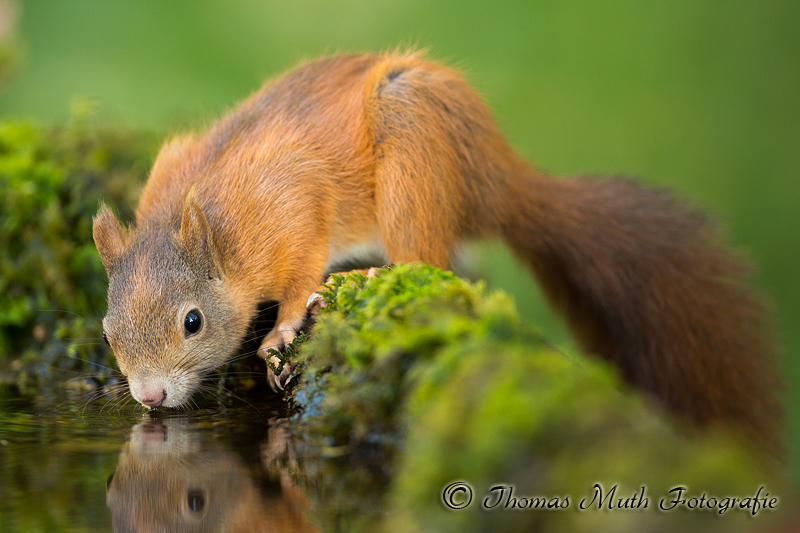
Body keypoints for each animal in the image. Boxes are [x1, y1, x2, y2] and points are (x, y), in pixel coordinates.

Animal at [90, 50, 780, 448]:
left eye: (193, 322)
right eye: (107, 331)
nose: (149, 399)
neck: (220, 226)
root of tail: (495, 179)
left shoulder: (294, 209)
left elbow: (300, 272)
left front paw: (282, 331)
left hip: (412, 155)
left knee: (427, 258)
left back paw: (369, 277)